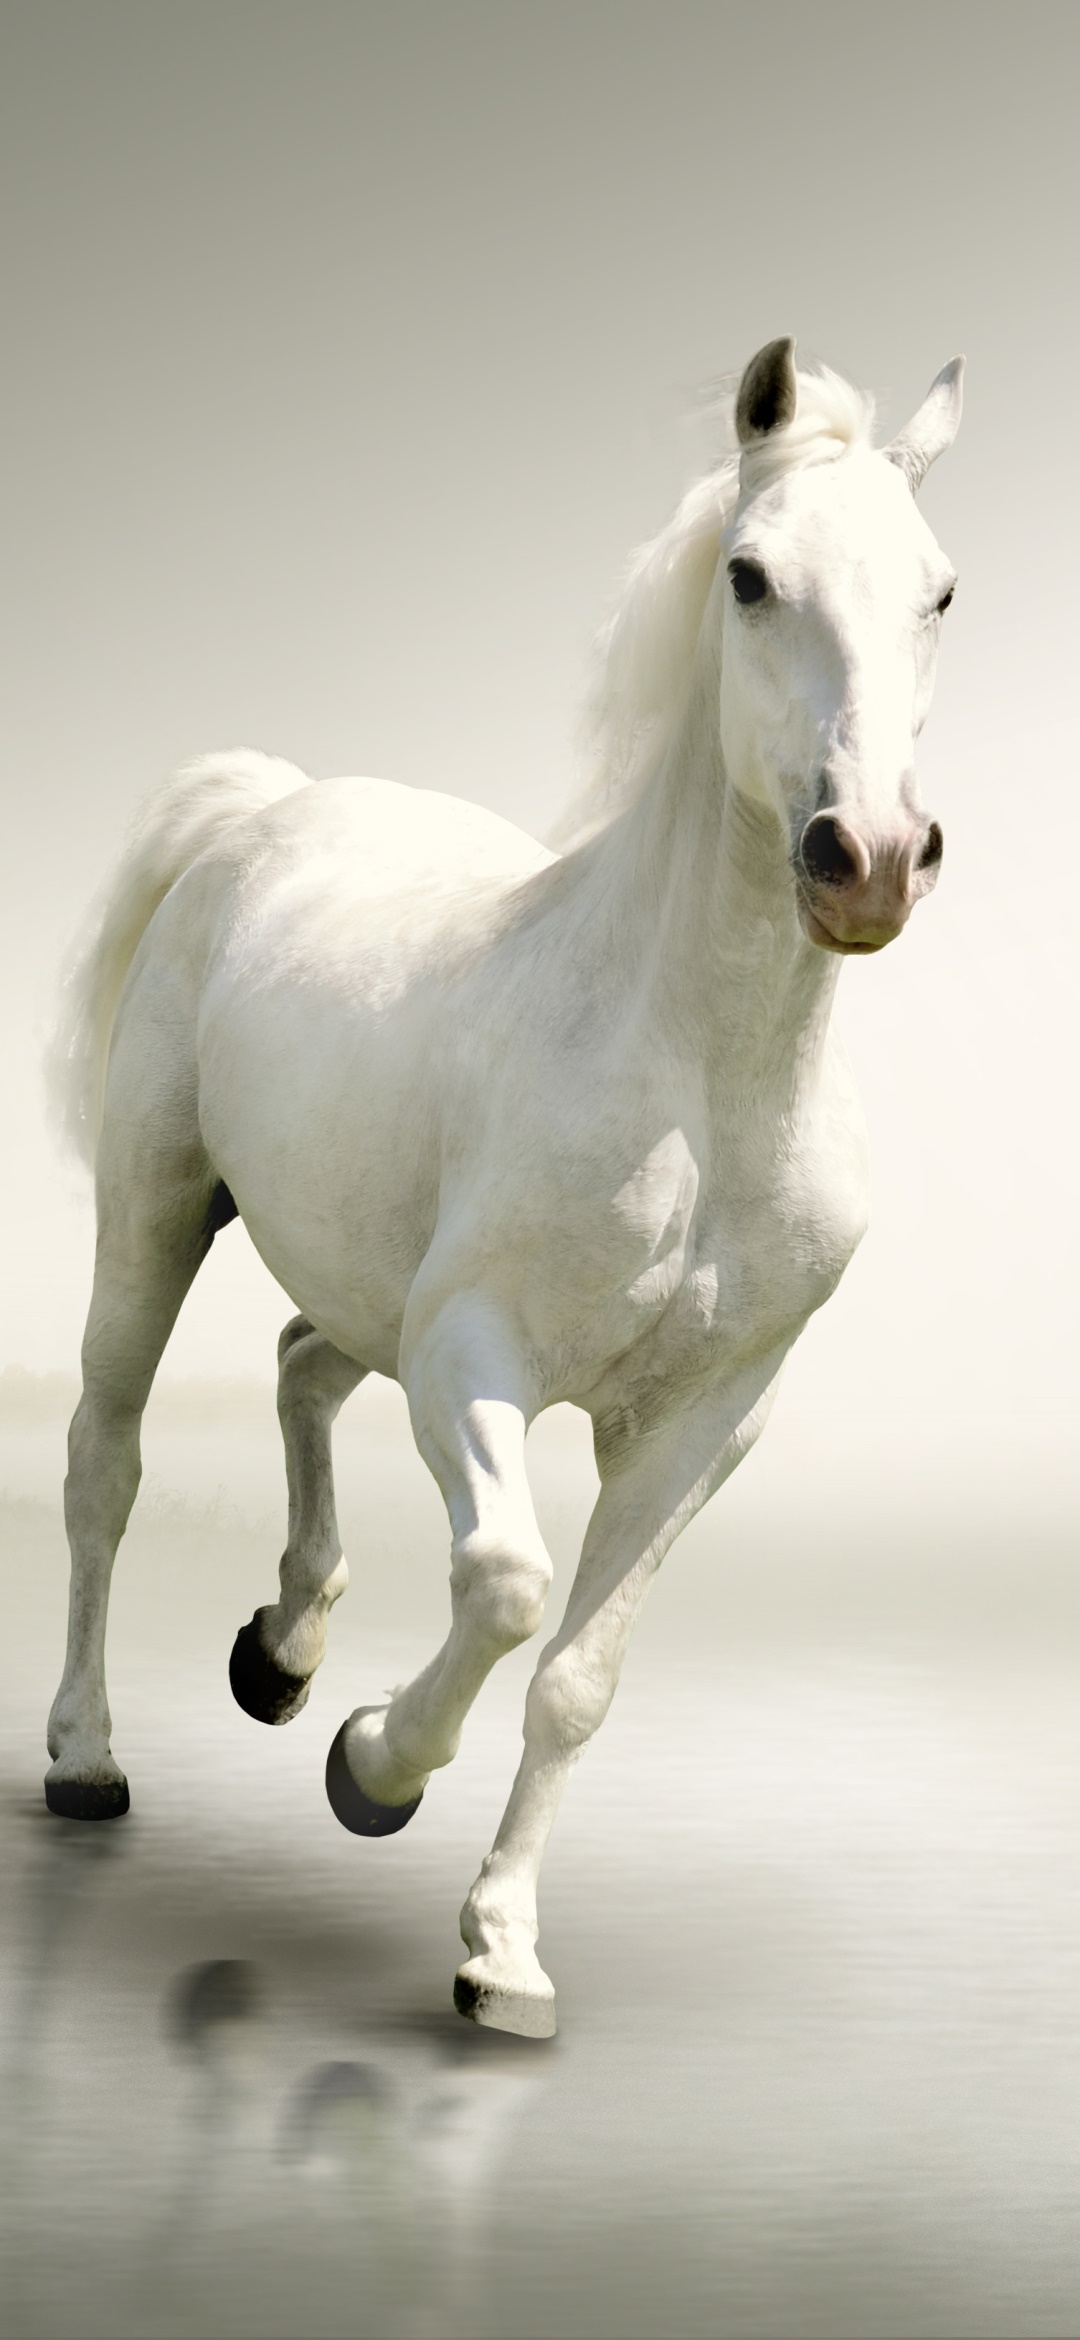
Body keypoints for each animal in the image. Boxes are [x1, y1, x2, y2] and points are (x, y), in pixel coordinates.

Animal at [44, 337, 963, 2038]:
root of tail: (267, 806)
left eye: (939, 589)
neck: (699, 1085)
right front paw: (371, 1769)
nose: (867, 857)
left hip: (363, 1282)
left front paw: (503, 1957)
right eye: (750, 575)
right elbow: (510, 1583)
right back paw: (88, 1756)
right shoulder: (475, 1358)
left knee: (299, 1361)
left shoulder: (703, 1423)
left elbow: (582, 1678)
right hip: (156, 1210)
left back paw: (281, 1651)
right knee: (104, 1461)